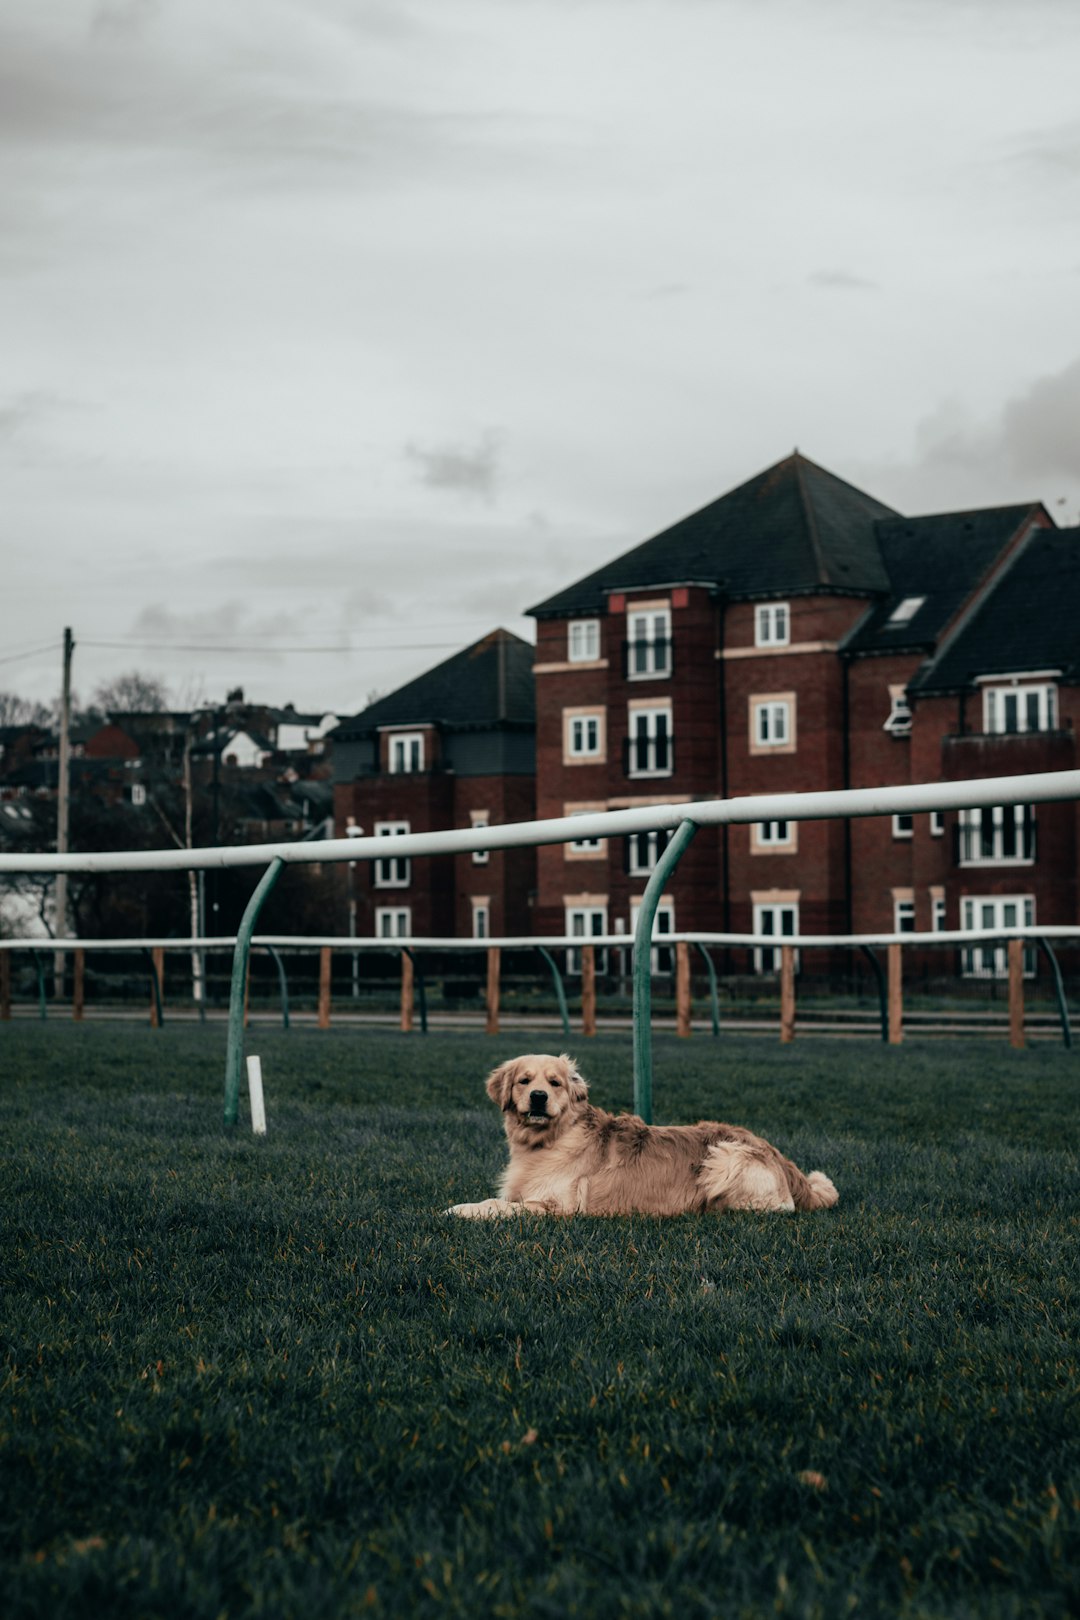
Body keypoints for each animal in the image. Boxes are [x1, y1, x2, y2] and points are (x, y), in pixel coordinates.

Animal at [443, 1049, 841, 1218]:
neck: (549, 1140)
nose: (538, 1097)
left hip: (724, 1156)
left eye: (555, 1083)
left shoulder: (560, 1205)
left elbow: (499, 1206)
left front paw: (458, 1210)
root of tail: (780, 1158)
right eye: (524, 1081)